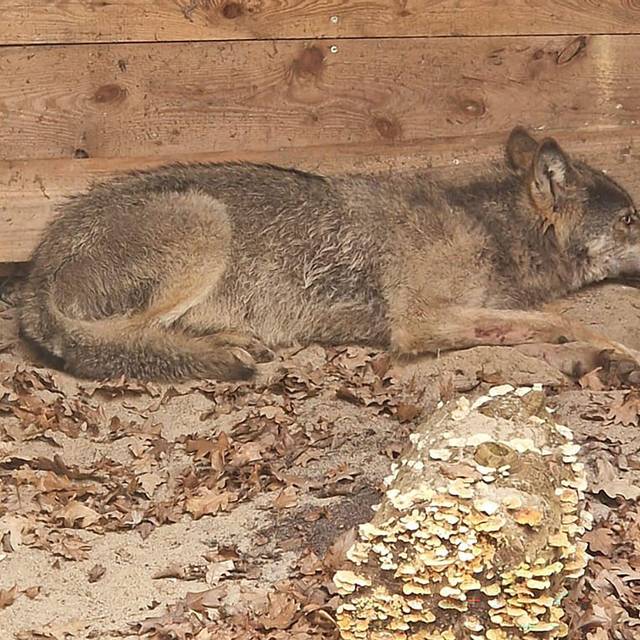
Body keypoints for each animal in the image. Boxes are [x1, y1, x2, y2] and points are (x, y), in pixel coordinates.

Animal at [17, 126, 640, 381]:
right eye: (632, 219)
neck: (490, 228)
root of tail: (36, 273)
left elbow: (536, 327)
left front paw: (592, 357)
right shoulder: (419, 322)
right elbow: (560, 321)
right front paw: (612, 350)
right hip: (206, 221)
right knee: (119, 340)